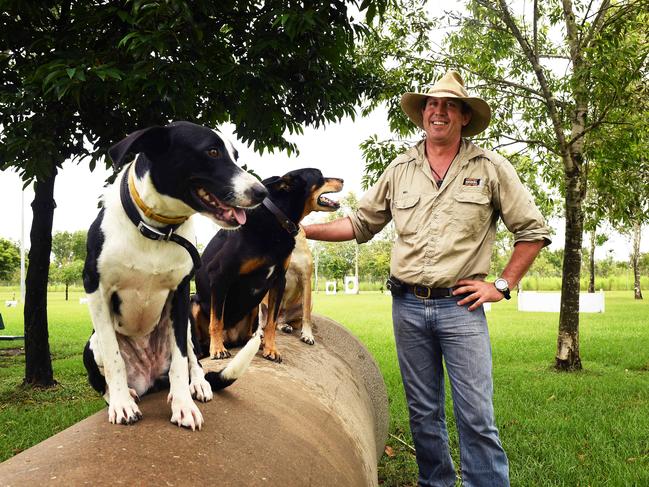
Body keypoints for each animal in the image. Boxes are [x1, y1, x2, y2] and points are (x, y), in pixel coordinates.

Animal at [82, 122, 268, 430]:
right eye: (212, 151)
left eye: (235, 154)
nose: (261, 192)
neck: (156, 230)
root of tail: (148, 377)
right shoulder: (96, 291)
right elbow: (113, 358)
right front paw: (121, 404)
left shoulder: (180, 294)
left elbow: (182, 360)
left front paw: (184, 405)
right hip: (91, 344)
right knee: (103, 374)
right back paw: (123, 394)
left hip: (189, 321)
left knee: (193, 357)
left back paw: (199, 384)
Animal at [191, 168, 344, 362]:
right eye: (319, 175)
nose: (342, 180)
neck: (277, 222)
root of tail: (231, 338)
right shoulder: (220, 275)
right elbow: (217, 320)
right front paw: (217, 349)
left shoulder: (279, 280)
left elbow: (272, 321)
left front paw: (271, 349)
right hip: (194, 301)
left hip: (254, 308)